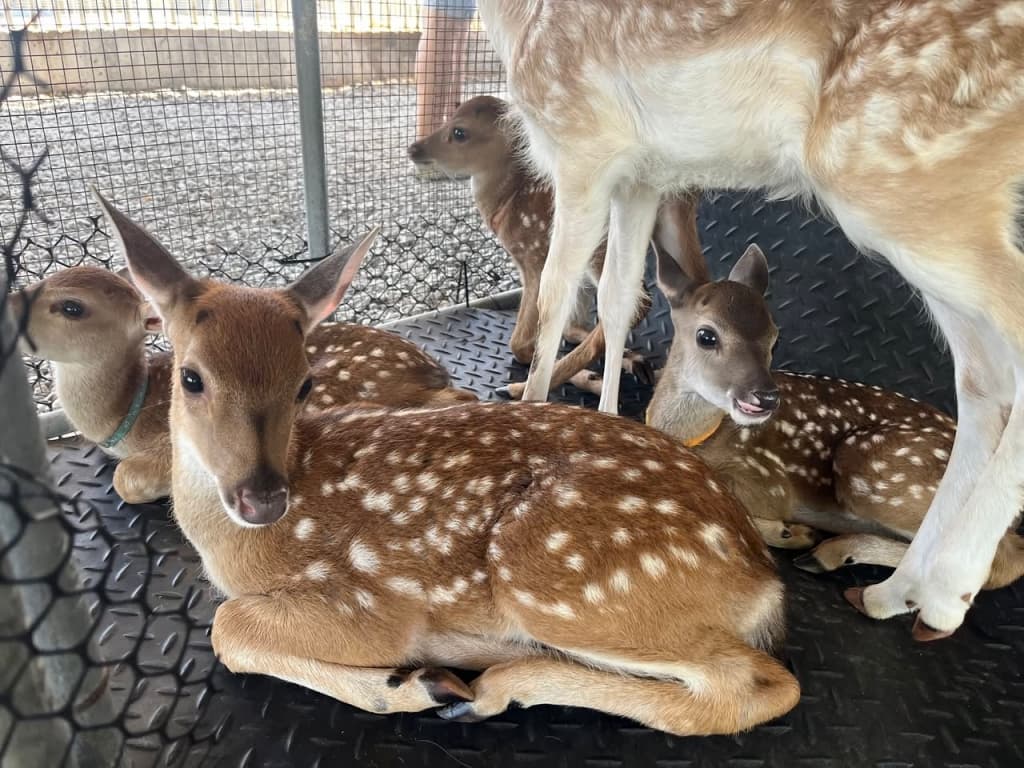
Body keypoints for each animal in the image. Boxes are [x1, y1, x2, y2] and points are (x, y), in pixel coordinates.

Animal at [11, 258, 475, 504]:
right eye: (43, 279)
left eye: (72, 307)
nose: (9, 302)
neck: (126, 413)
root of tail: (430, 367)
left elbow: (125, 478)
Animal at [94, 190, 801, 736]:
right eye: (191, 378)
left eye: (304, 383)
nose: (261, 497)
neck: (233, 545)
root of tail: (760, 577)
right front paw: (417, 685)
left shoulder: (368, 602)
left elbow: (228, 626)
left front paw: (401, 684)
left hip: (561, 582)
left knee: (757, 684)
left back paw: (482, 686)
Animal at [407, 94, 702, 397]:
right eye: (449, 117)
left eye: (459, 132)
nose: (413, 147)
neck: (508, 201)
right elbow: (572, 325)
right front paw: (631, 359)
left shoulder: (533, 256)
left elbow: (520, 344)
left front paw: (579, 374)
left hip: (601, 240)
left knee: (637, 300)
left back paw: (525, 387)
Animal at [646, 243, 1024, 623]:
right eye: (706, 336)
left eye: (774, 338)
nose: (765, 397)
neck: (698, 437)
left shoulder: (768, 480)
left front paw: (791, 532)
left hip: (871, 464)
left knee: (999, 560)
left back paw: (840, 564)